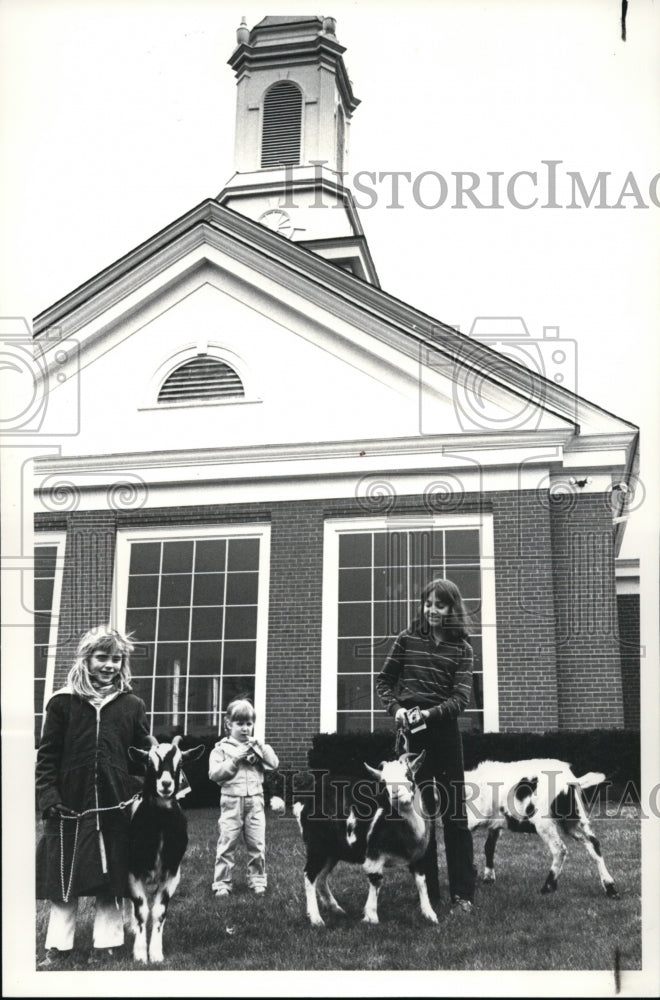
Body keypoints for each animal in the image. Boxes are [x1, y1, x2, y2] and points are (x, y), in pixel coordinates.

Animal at [125, 736, 204, 960]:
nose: (166, 784)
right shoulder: (132, 870)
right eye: (149, 762)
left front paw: (156, 953)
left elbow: (159, 912)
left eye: (180, 763)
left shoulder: (172, 872)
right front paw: (140, 954)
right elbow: (142, 910)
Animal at [294, 752, 438, 924]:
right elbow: (376, 880)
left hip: (333, 850)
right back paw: (316, 918)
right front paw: (371, 916)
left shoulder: (418, 855)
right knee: (309, 875)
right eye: (383, 782)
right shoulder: (374, 855)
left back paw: (335, 908)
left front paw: (429, 914)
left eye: (408, 775)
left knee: (321, 876)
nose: (396, 793)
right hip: (317, 845)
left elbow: (421, 882)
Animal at [464, 756, 620, 900]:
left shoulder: (472, 820)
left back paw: (548, 887)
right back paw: (610, 888)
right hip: (574, 819)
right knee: (593, 843)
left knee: (560, 849)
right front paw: (488, 878)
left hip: (544, 823)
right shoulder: (495, 825)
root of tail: (570, 780)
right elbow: (489, 847)